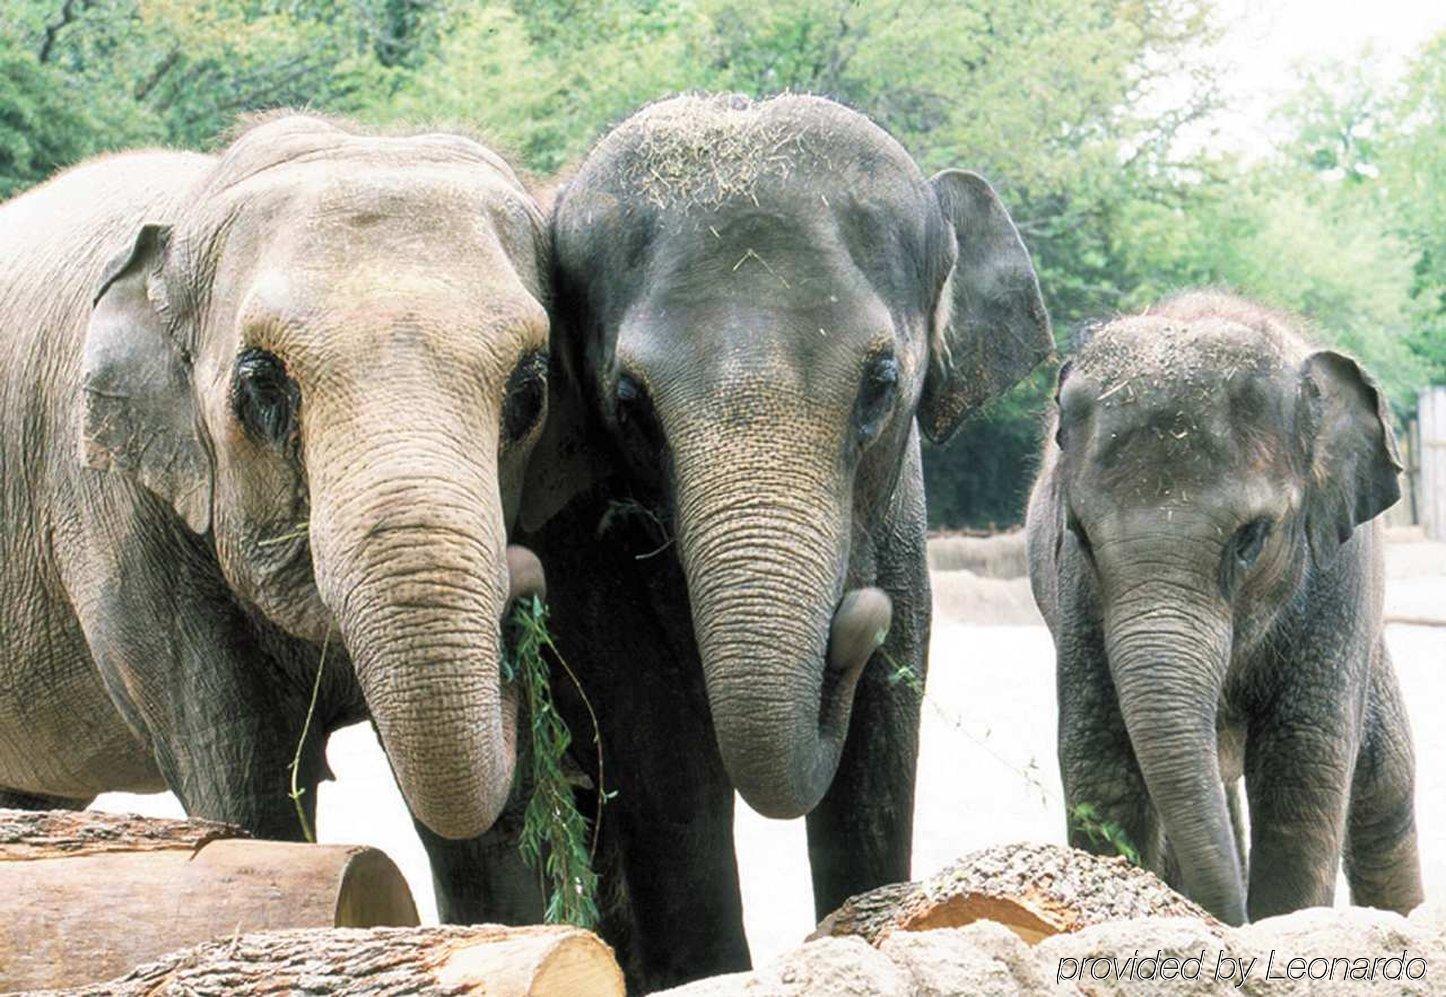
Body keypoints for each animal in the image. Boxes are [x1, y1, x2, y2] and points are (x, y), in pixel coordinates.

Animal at [0, 112, 552, 908]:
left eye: (530, 393)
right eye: (262, 385)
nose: (524, 582)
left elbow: (484, 841)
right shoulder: (113, 505)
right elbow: (239, 771)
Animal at [508, 91, 1052, 989]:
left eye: (881, 385)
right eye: (629, 403)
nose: (857, 615)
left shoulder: (903, 528)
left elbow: (881, 751)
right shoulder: (584, 551)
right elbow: (660, 758)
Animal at [1029, 289, 1422, 926]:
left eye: (1250, 538)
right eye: (1081, 535)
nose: (1228, 918)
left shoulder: (1342, 579)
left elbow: (1303, 760)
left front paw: (1280, 923)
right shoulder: (1077, 596)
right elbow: (1099, 756)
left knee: (1384, 783)